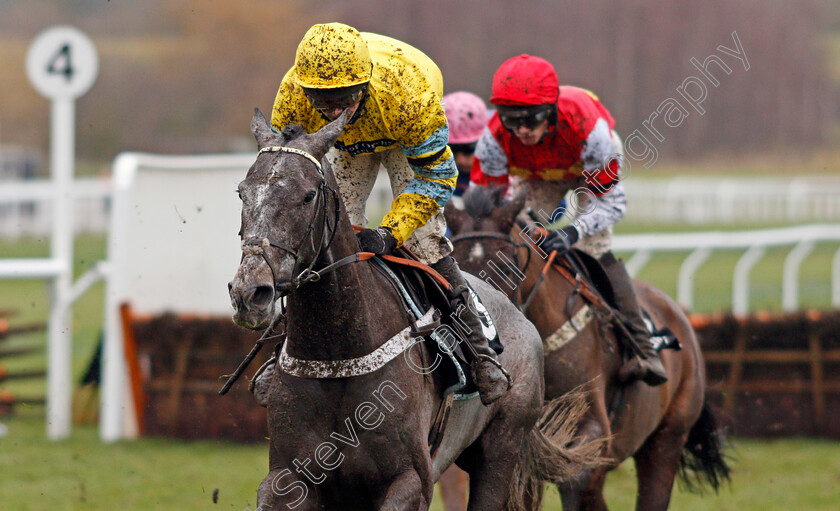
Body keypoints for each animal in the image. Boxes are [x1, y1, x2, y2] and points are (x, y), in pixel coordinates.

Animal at [223, 111, 592, 511]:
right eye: (242, 191)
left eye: (307, 196)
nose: (250, 292)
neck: (337, 353)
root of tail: (520, 314)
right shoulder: (290, 477)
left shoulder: (411, 479)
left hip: (502, 447)